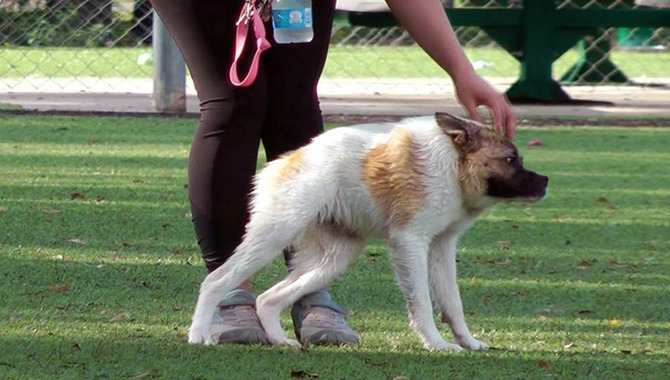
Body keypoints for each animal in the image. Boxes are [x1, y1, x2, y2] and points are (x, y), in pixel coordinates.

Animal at [186, 112, 548, 350]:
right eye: (511, 159)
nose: (545, 181)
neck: (453, 166)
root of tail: (284, 162)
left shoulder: (441, 248)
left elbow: (453, 303)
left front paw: (468, 342)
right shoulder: (410, 244)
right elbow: (423, 304)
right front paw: (437, 344)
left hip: (333, 259)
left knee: (268, 299)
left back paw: (278, 338)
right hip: (274, 235)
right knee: (215, 281)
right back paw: (198, 334)